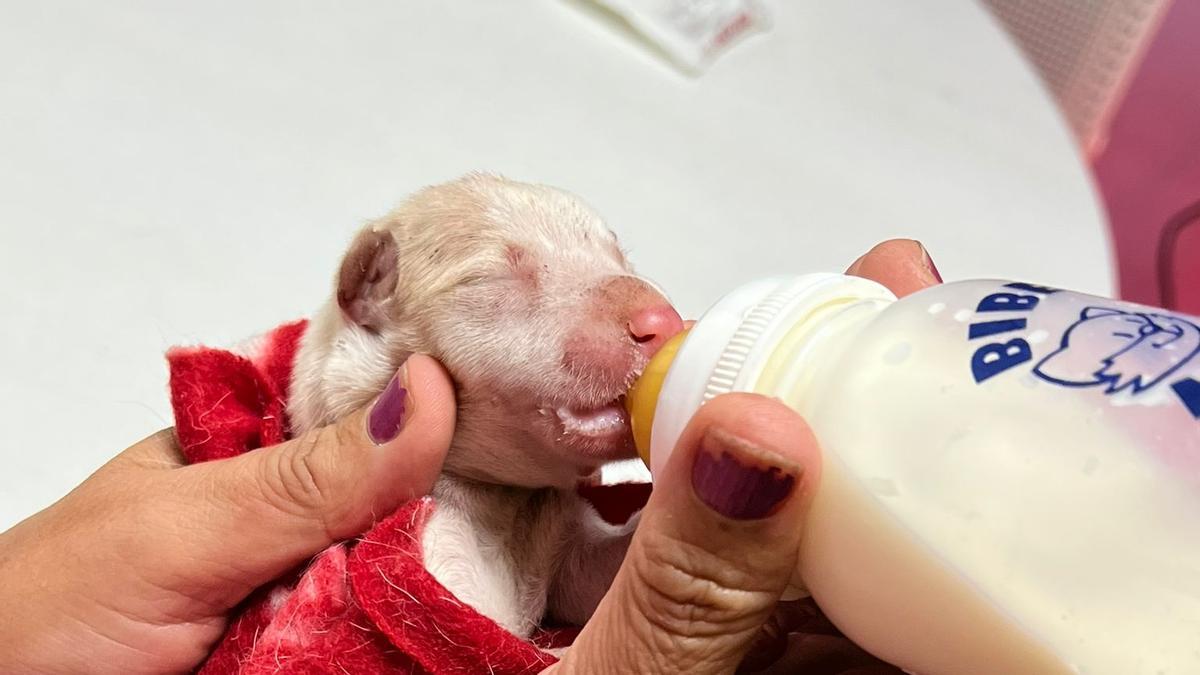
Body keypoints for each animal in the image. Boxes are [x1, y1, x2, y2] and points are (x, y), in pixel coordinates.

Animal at [289, 172, 681, 634]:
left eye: (620, 256)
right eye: (490, 277)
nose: (662, 321)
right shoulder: (430, 544)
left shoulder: (564, 532)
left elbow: (598, 574)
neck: (503, 503)